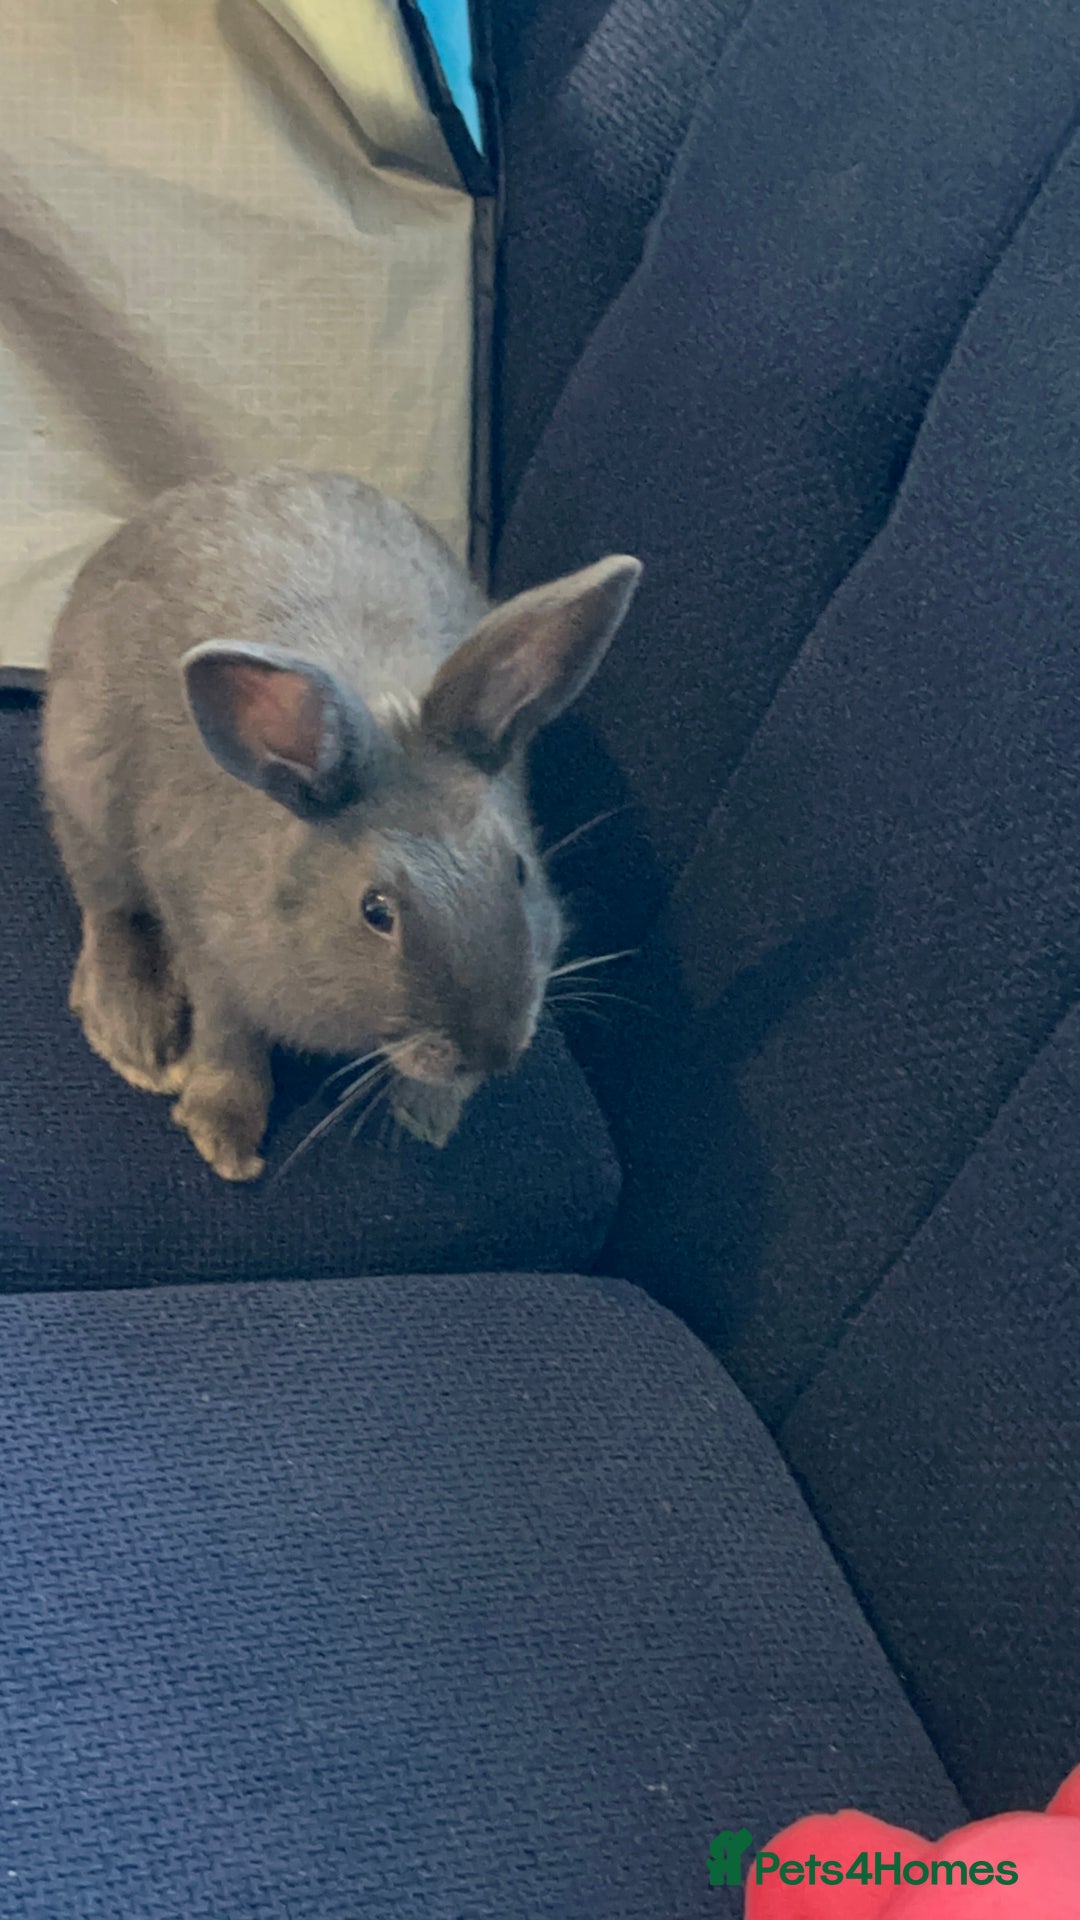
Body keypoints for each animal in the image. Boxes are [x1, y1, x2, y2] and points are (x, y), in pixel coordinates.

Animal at [40, 468, 642, 1181]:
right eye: (375, 911)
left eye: (518, 870)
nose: (492, 1051)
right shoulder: (209, 950)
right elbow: (228, 1040)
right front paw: (224, 1138)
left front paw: (428, 1115)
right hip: (83, 793)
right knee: (108, 907)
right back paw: (134, 1036)